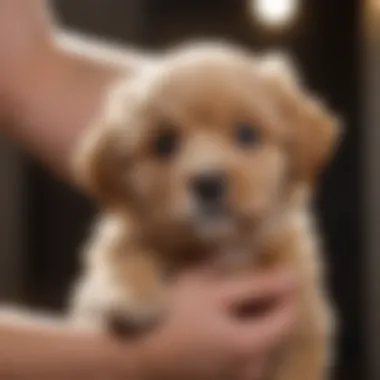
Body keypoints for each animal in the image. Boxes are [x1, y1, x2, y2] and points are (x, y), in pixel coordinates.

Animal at [70, 42, 340, 380]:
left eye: (247, 134)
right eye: (163, 144)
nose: (208, 182)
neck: (220, 251)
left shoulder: (303, 332)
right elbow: (119, 252)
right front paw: (130, 295)